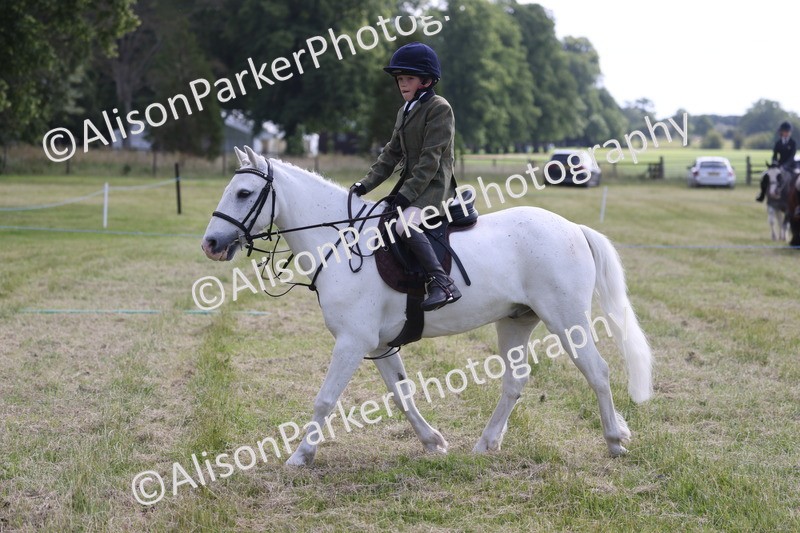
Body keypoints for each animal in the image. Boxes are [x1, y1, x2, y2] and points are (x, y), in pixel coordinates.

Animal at [201, 146, 653, 466]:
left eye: (244, 193)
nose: (210, 243)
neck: (341, 241)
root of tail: (573, 227)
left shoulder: (351, 341)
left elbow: (325, 399)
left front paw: (300, 456)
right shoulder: (379, 344)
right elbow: (402, 393)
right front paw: (432, 441)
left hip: (566, 320)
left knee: (597, 371)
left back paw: (614, 441)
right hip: (515, 322)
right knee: (515, 382)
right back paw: (486, 444)